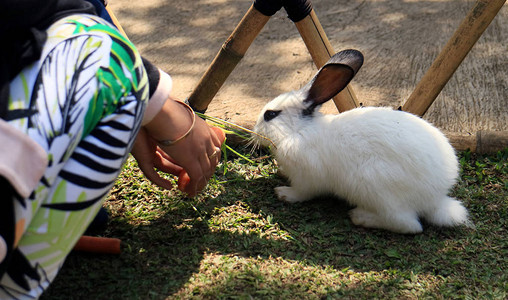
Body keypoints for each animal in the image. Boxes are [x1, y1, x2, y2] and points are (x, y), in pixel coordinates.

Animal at [252, 49, 470, 233]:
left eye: (271, 114)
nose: (254, 132)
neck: (298, 131)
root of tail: (435, 199)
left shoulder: (308, 178)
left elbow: (302, 193)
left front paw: (283, 193)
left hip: (374, 187)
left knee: (408, 225)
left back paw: (361, 217)